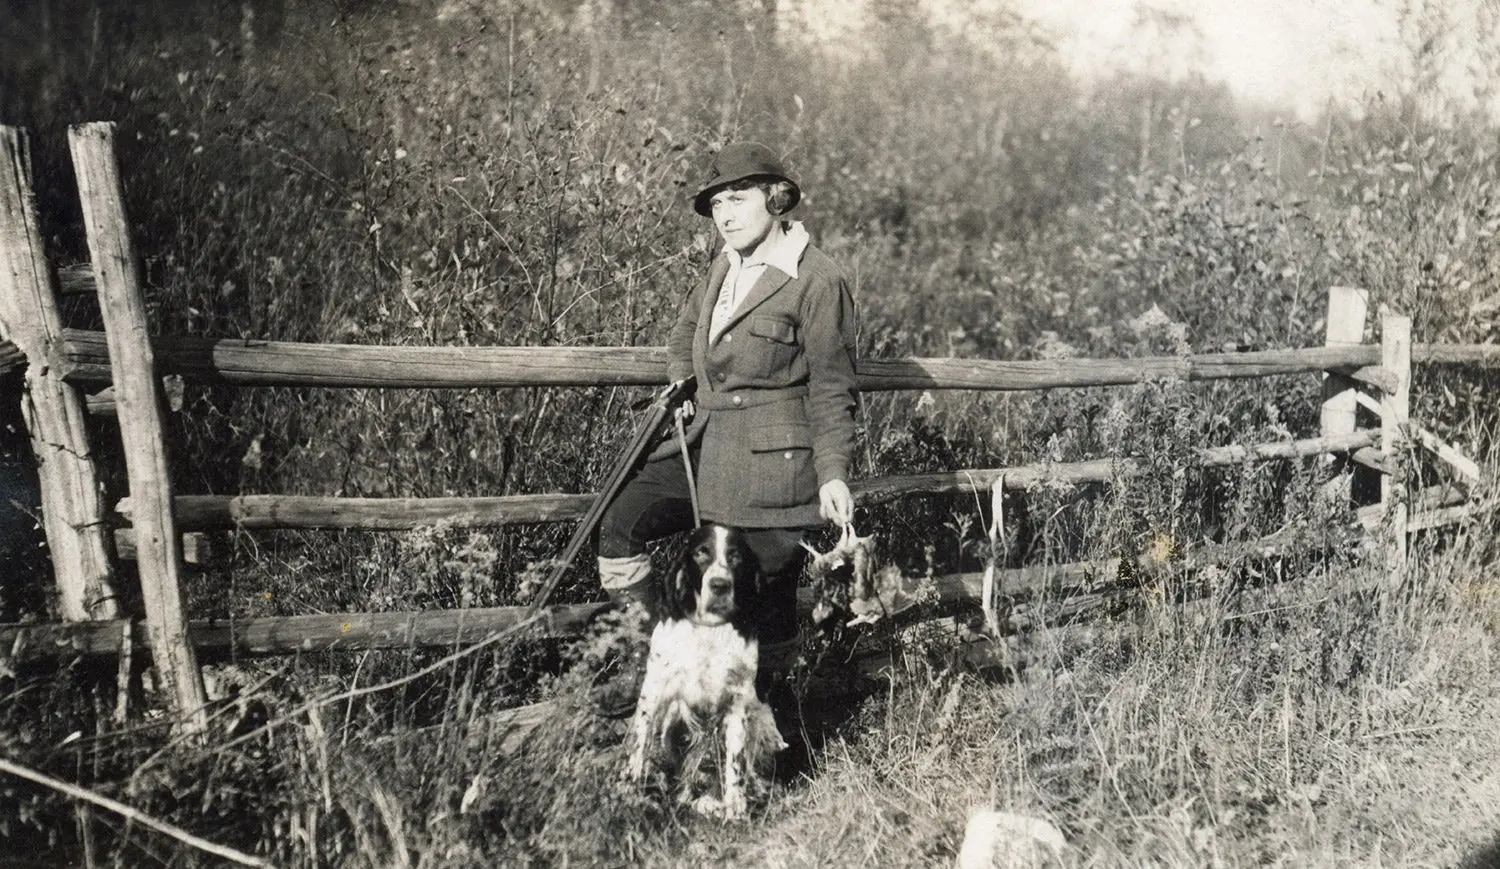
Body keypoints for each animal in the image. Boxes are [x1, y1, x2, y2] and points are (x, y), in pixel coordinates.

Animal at [624, 522, 786, 822]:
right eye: (701, 553)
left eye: (735, 556)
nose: (719, 585)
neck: (709, 631)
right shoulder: (654, 694)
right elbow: (639, 748)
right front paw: (628, 794)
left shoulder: (737, 702)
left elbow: (736, 764)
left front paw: (735, 810)